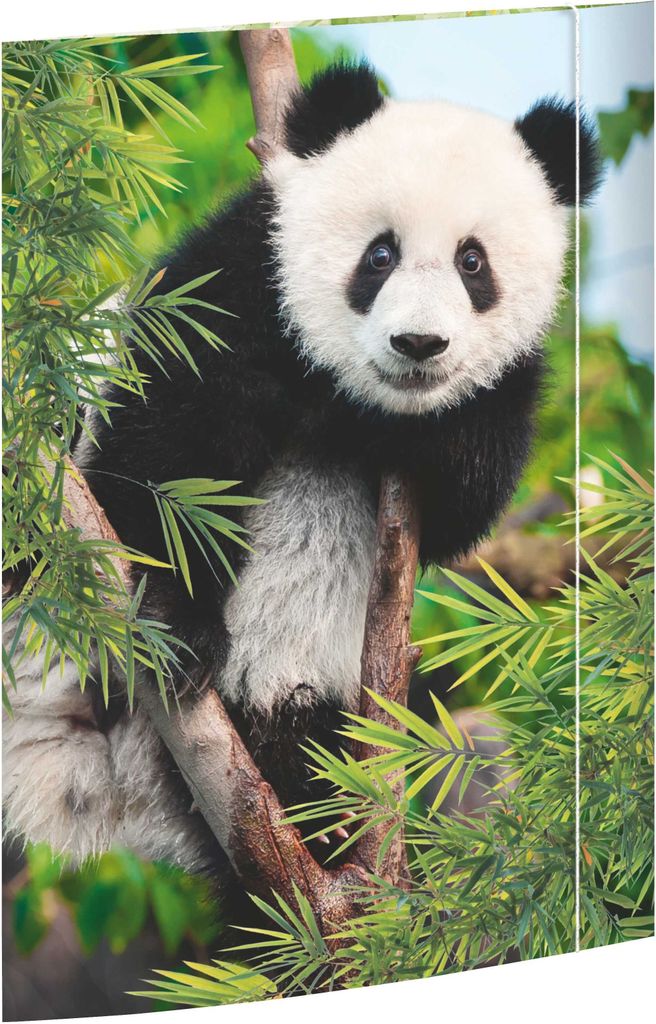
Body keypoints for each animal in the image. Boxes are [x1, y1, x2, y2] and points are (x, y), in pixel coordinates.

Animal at [2, 61, 601, 873]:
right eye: (379, 254)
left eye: (472, 261)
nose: (418, 345)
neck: (353, 397)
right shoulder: (241, 276)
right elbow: (166, 447)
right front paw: (179, 622)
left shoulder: (501, 391)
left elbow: (464, 501)